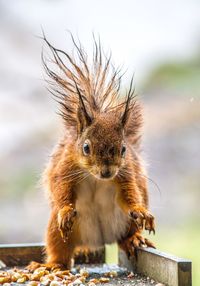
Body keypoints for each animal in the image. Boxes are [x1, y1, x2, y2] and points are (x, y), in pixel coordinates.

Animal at [27, 34, 155, 272]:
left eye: (123, 149)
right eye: (86, 147)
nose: (106, 172)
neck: (95, 177)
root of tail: (97, 242)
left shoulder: (126, 173)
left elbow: (129, 195)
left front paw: (141, 210)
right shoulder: (65, 167)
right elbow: (61, 190)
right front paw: (65, 210)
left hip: (126, 223)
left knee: (126, 236)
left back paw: (134, 239)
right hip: (57, 231)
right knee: (60, 249)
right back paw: (52, 265)